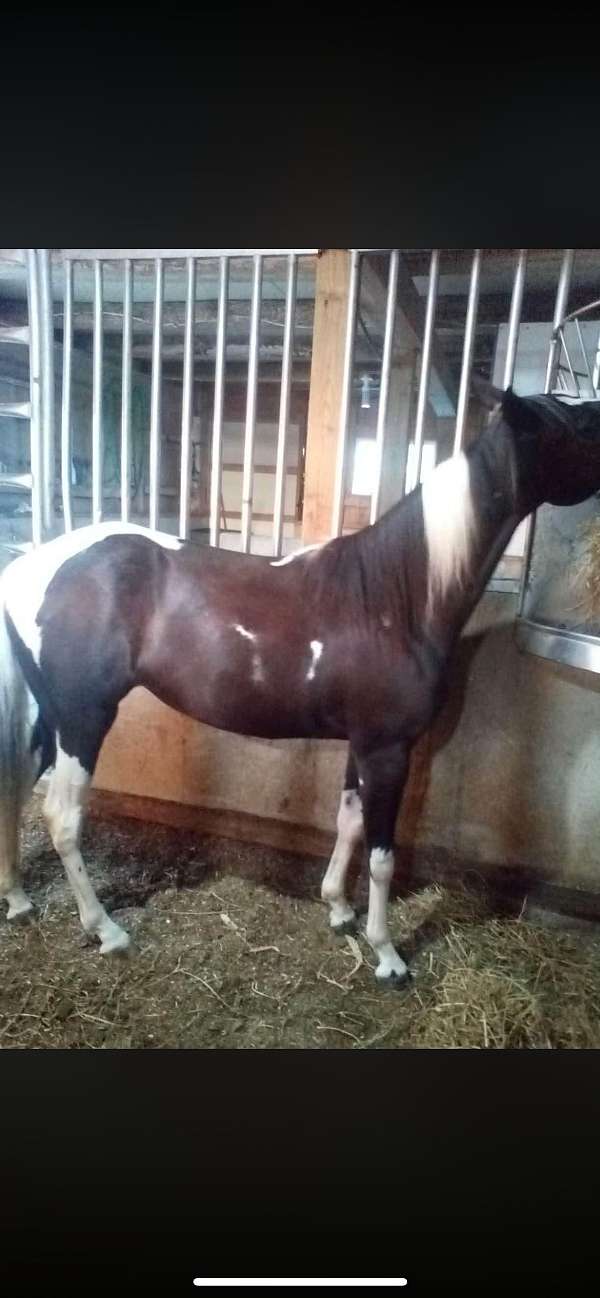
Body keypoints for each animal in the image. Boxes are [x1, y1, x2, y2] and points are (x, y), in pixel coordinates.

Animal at [2, 378, 600, 987]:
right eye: (577, 426)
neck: (397, 598)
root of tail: (33, 567)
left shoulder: (363, 745)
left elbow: (349, 821)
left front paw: (337, 908)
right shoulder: (389, 749)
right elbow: (382, 856)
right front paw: (387, 955)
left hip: (48, 716)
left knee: (15, 790)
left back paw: (19, 900)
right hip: (83, 718)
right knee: (62, 816)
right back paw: (106, 930)